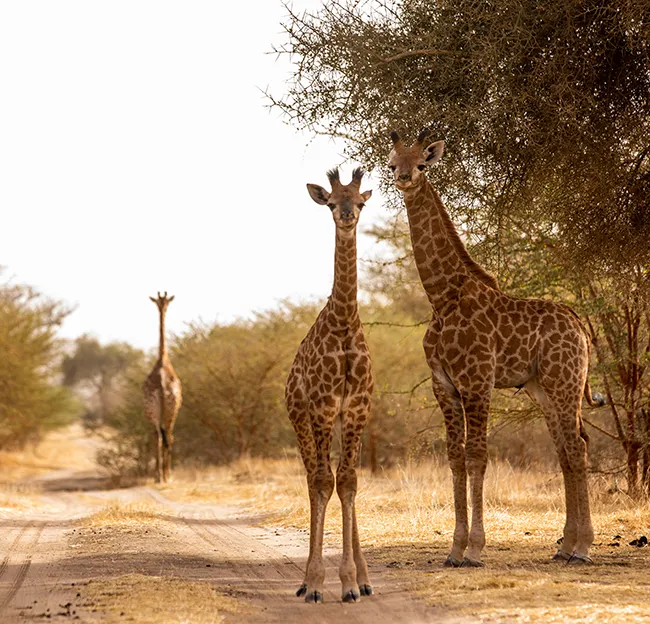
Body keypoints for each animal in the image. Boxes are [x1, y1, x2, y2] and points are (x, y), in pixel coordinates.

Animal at [384, 129, 604, 568]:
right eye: (393, 162)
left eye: (422, 163)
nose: (403, 178)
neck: (442, 297)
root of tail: (579, 326)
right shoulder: (443, 385)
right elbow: (454, 457)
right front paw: (453, 550)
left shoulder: (477, 381)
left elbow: (477, 456)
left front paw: (474, 549)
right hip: (541, 388)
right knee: (567, 448)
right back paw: (565, 546)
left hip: (565, 381)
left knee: (576, 446)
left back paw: (583, 548)